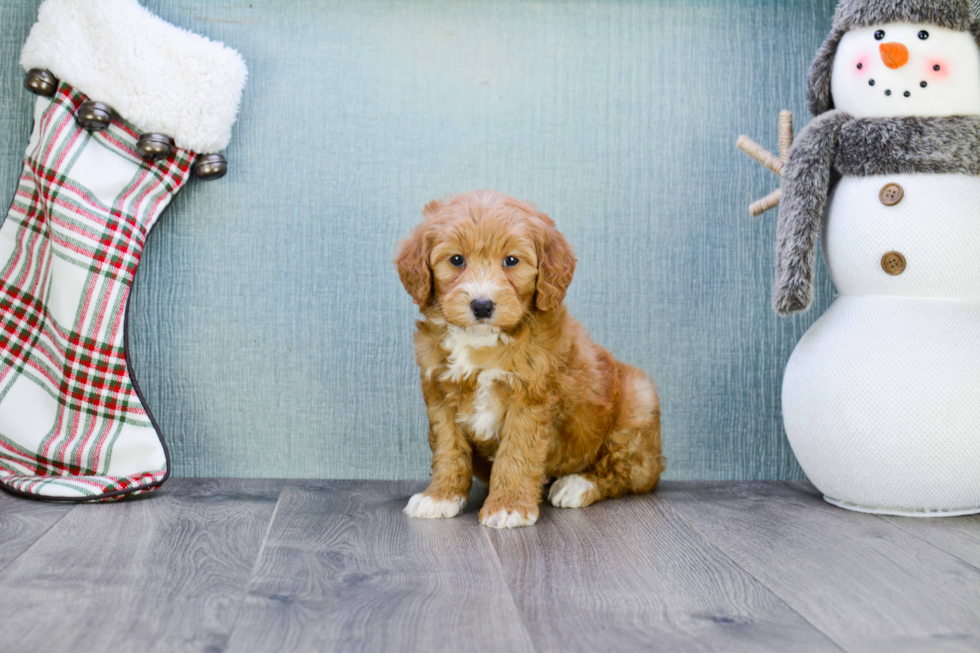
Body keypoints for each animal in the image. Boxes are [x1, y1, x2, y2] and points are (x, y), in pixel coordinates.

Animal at [394, 191, 664, 528]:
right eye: (456, 260)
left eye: (511, 260)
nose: (482, 305)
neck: (482, 340)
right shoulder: (440, 393)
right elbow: (448, 449)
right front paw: (441, 496)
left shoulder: (531, 398)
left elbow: (516, 452)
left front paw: (508, 506)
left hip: (638, 402)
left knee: (626, 473)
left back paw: (576, 485)